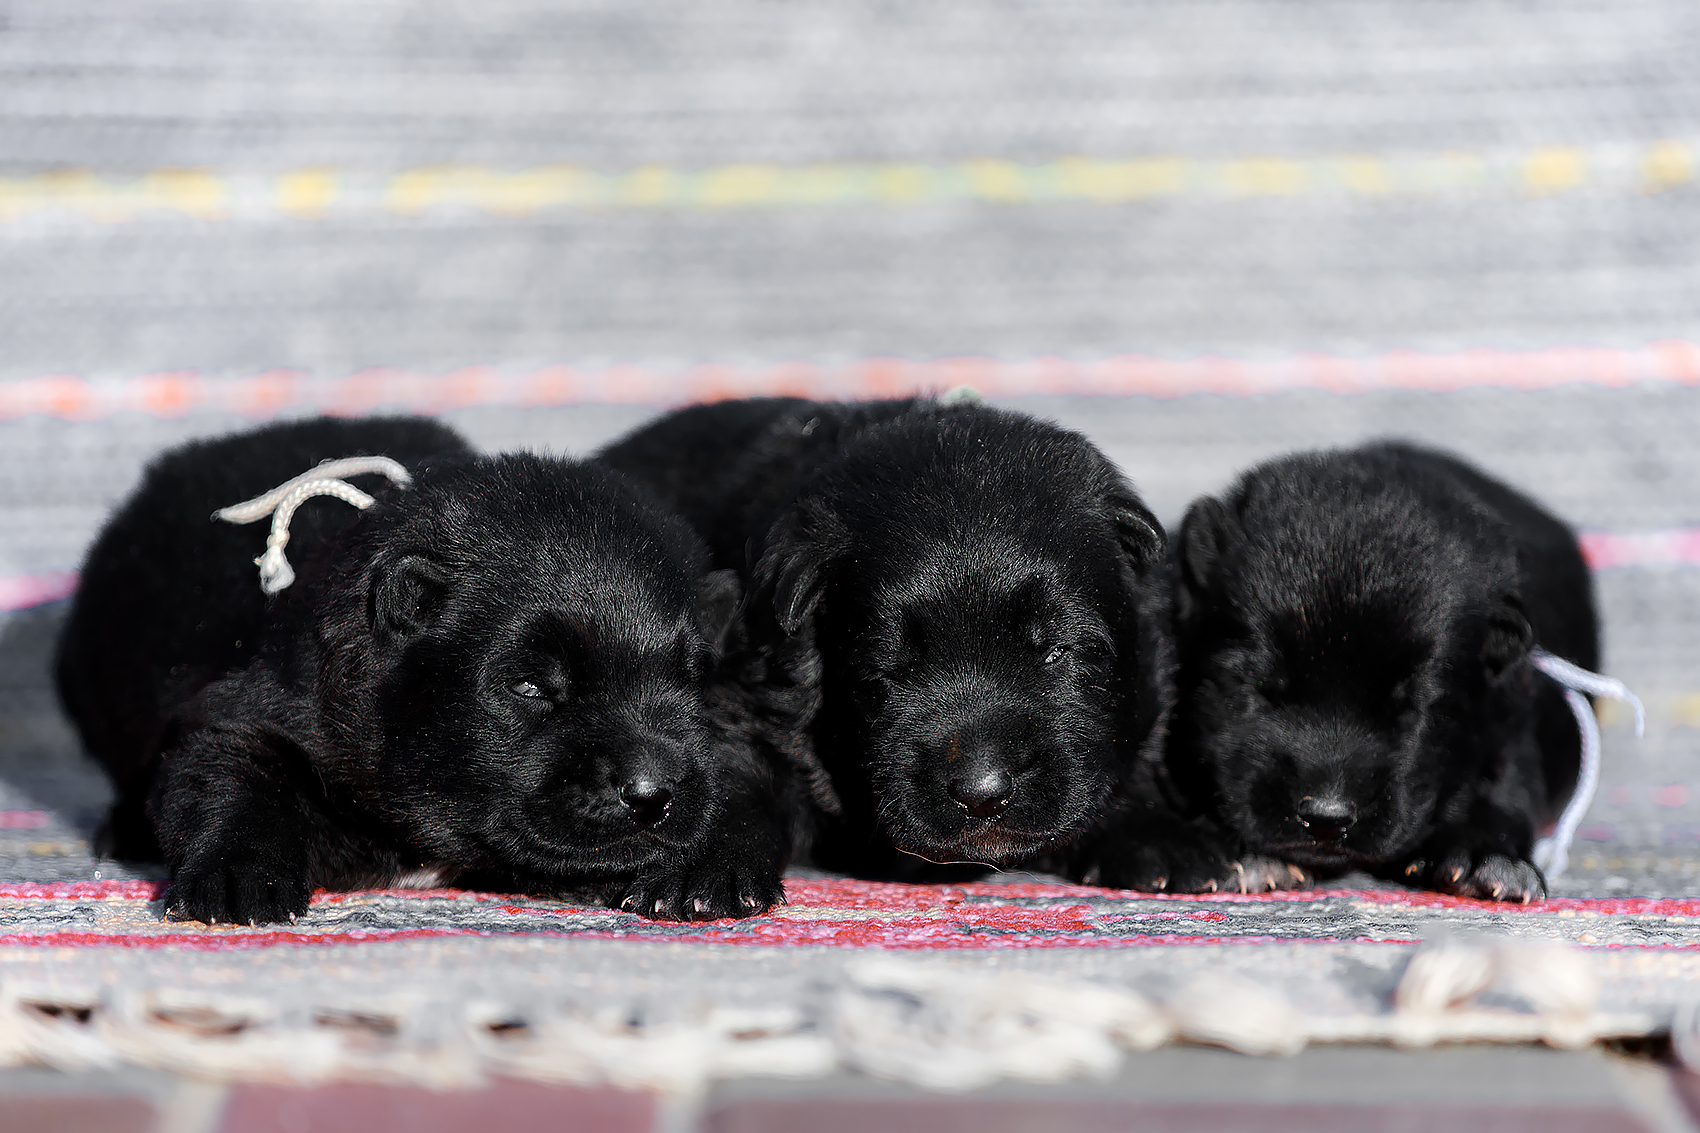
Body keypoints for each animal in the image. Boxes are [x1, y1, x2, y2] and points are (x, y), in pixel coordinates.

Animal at [53, 415, 782, 918]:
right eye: (530, 686)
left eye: (690, 682)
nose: (652, 792)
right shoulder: (264, 704)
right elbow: (228, 765)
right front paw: (237, 878)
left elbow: (735, 774)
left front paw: (704, 871)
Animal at [598, 399, 1224, 891]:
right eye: (885, 674)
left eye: (1057, 652)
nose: (982, 793)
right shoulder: (750, 685)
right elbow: (734, 764)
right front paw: (698, 864)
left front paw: (1156, 838)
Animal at [1176, 435, 1598, 898]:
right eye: (1257, 687)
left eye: (1412, 709)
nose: (1325, 818)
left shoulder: (1508, 715)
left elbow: (1505, 787)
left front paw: (1487, 858)